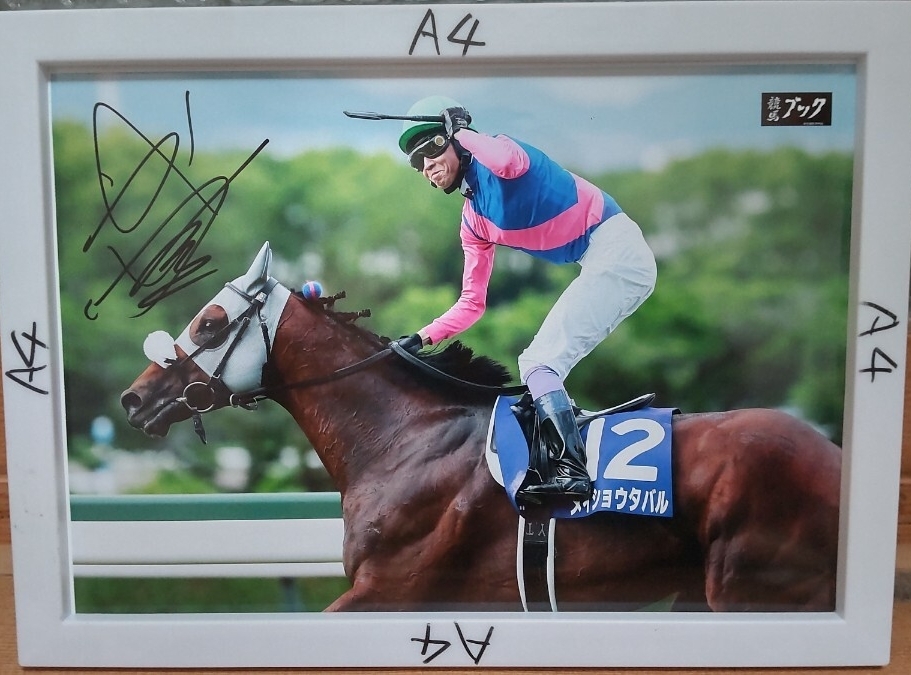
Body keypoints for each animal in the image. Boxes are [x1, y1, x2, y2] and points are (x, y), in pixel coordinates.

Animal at [121, 243, 842, 613]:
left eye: (209, 323)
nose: (134, 397)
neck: (402, 439)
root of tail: (833, 456)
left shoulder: (388, 589)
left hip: (752, 586)